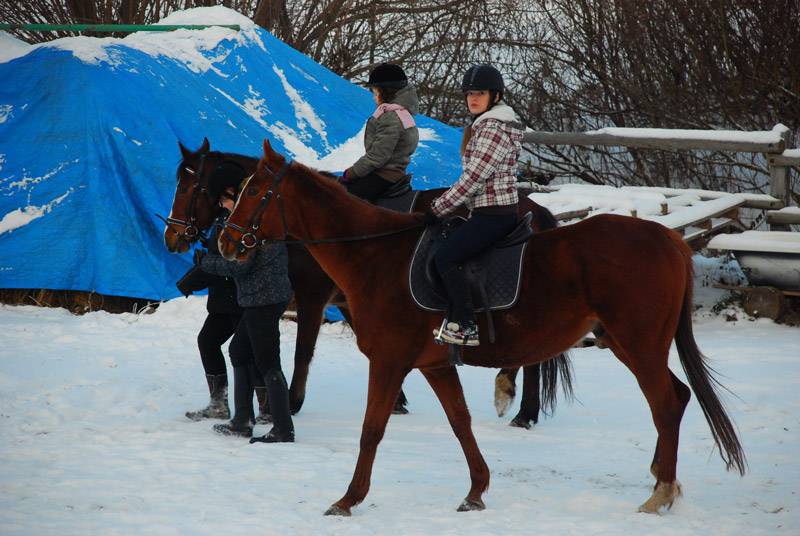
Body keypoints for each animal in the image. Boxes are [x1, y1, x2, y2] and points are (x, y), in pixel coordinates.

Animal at [162, 139, 568, 428]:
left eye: (185, 187)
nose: (172, 237)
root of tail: (532, 208)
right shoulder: (349, 300)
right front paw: (399, 400)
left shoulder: (313, 298)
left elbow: (303, 351)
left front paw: (292, 402)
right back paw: (522, 407)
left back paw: (517, 404)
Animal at [219, 140, 744, 516]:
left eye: (253, 192)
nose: (225, 242)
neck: (378, 254)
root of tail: (669, 239)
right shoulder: (433, 365)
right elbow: (460, 422)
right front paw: (476, 490)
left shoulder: (388, 361)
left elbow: (372, 429)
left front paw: (348, 499)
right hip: (628, 343)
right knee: (676, 396)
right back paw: (661, 477)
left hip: (639, 344)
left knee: (667, 404)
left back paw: (661, 492)